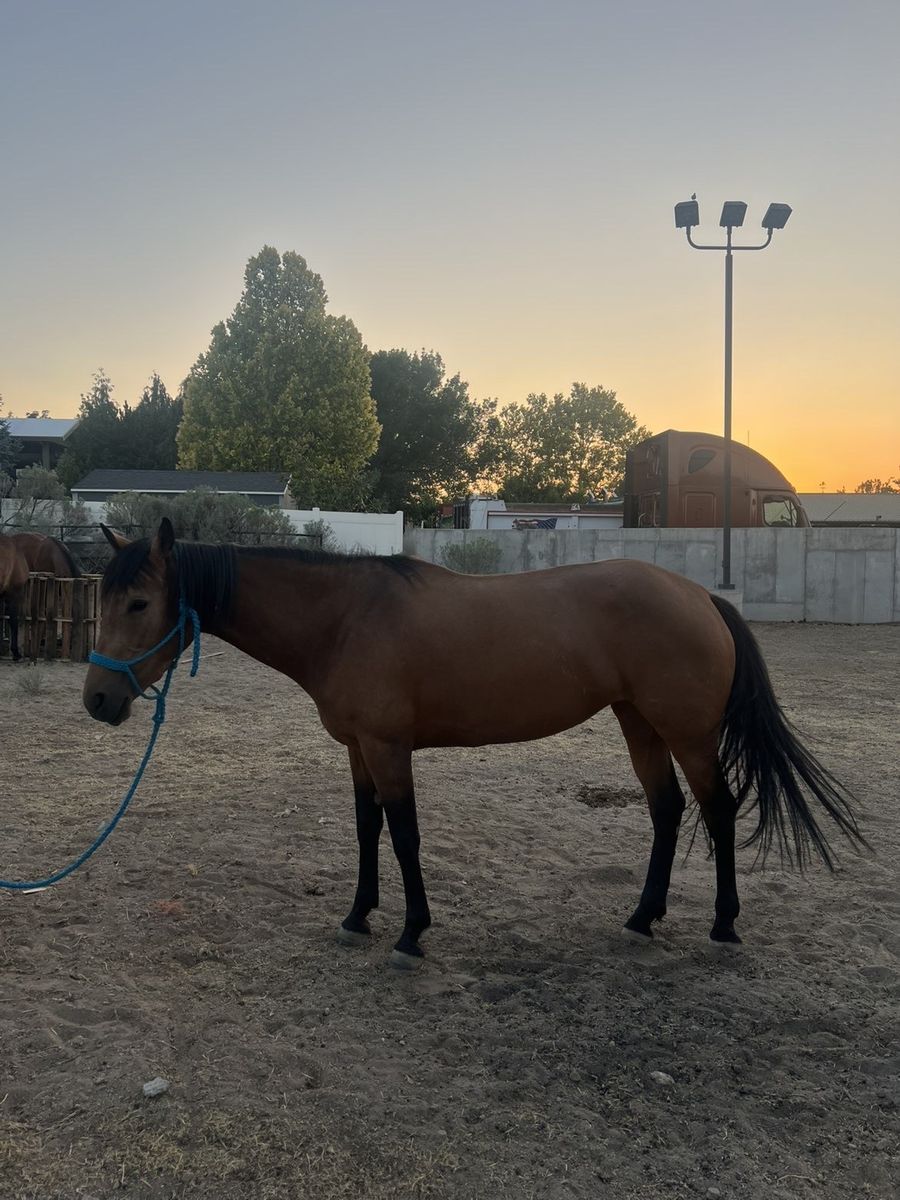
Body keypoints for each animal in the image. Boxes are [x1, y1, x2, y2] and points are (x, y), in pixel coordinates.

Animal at [83, 518, 864, 967]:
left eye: (139, 602)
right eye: (102, 599)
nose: (98, 700)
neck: (344, 618)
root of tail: (700, 594)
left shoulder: (388, 747)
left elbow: (404, 835)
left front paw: (410, 932)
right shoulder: (357, 748)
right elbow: (366, 829)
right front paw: (358, 916)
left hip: (688, 731)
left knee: (720, 810)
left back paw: (724, 927)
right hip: (638, 722)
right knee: (667, 810)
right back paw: (642, 918)